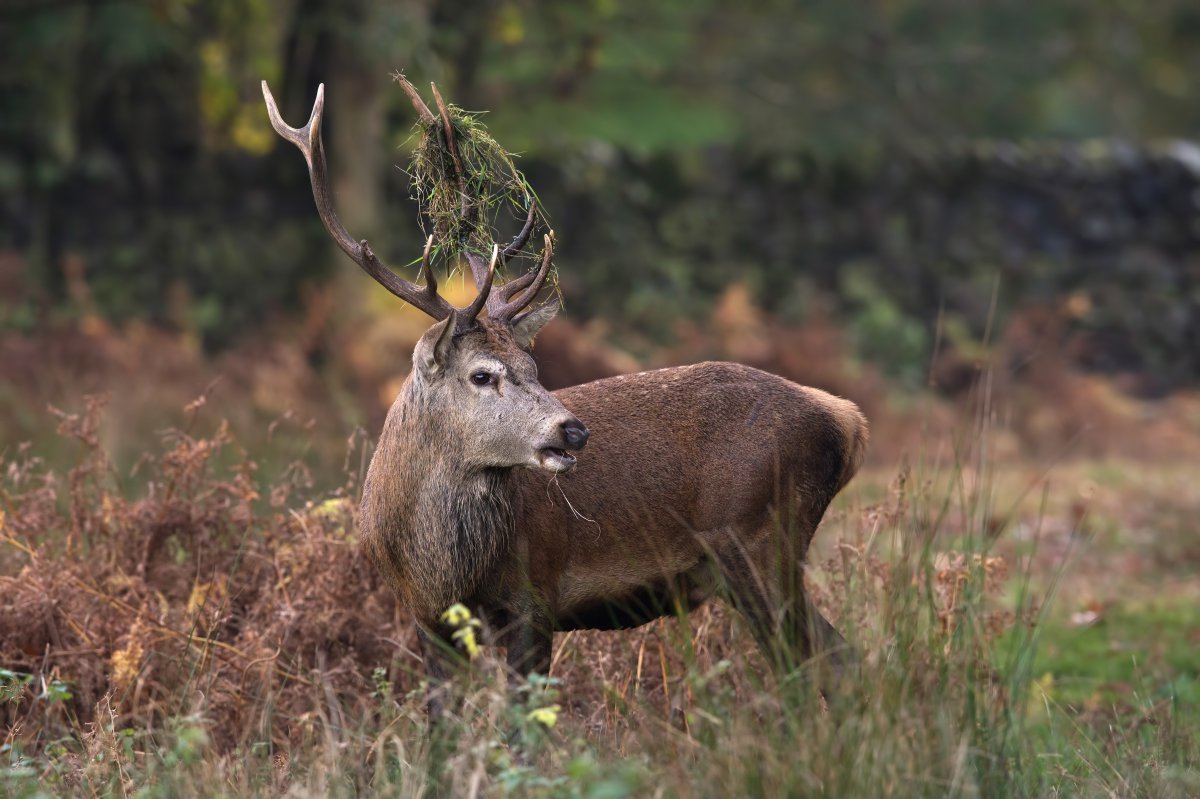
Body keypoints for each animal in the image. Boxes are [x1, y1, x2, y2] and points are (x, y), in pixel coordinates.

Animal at [262, 77, 868, 705]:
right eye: (483, 374)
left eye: (533, 364)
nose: (573, 429)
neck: (436, 564)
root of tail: (848, 419)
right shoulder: (428, 619)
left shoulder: (536, 597)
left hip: (762, 541)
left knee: (823, 661)